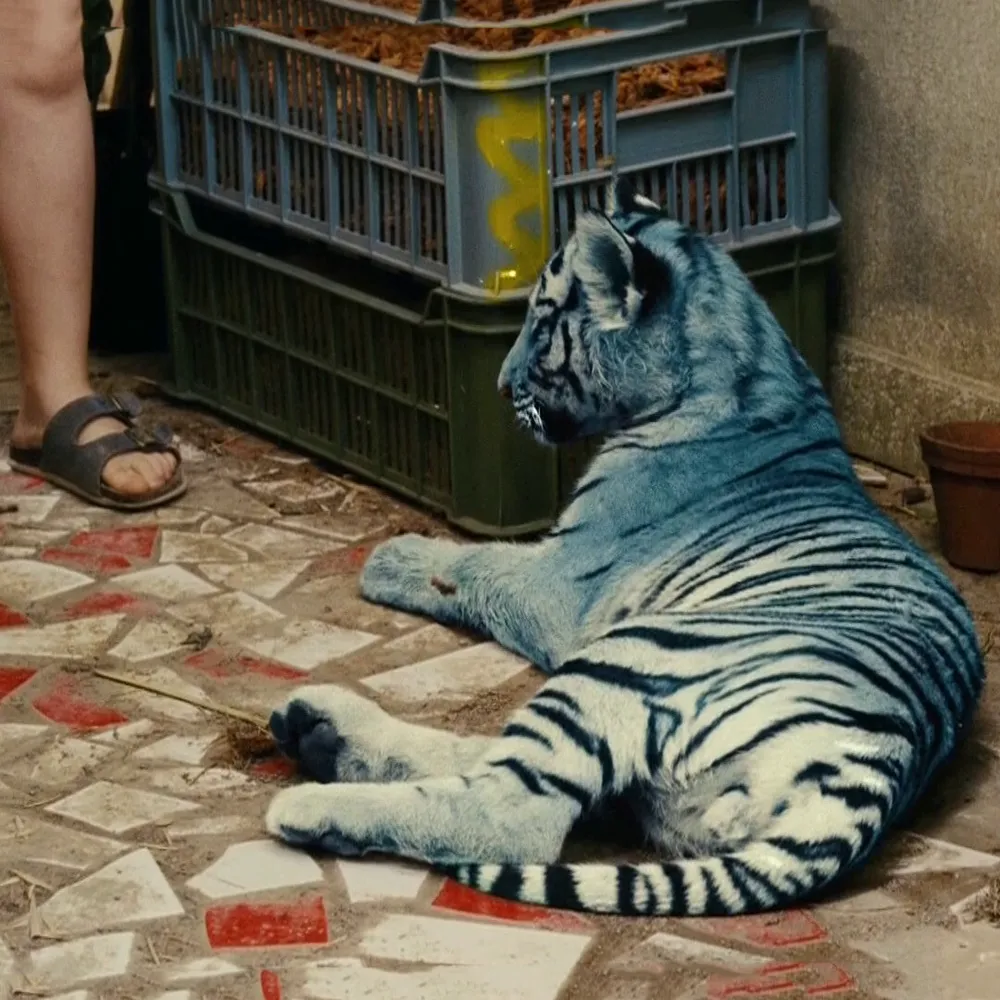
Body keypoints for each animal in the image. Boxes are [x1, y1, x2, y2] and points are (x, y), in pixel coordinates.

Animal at [264, 178, 983, 916]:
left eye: (543, 320)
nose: (499, 384)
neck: (743, 364)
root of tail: (875, 767)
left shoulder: (559, 584)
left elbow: (476, 562)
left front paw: (390, 557)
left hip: (625, 660)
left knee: (516, 814)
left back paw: (310, 800)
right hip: (652, 775)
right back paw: (317, 730)